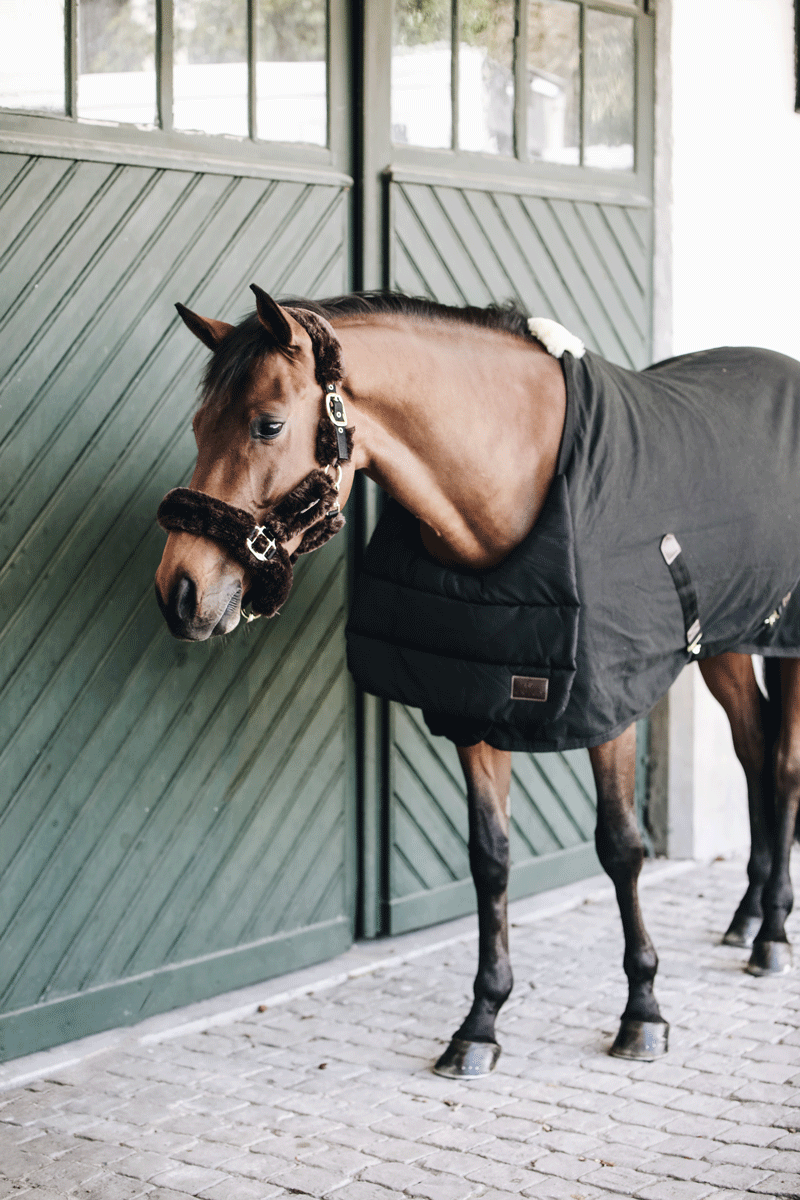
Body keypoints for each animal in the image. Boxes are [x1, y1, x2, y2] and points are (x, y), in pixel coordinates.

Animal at [155, 286, 800, 1079]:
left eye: (266, 424)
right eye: (197, 424)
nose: (180, 592)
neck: (515, 484)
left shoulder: (608, 712)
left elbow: (621, 848)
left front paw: (643, 1009)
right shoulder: (474, 705)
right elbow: (489, 860)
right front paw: (481, 1021)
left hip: (787, 642)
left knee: (783, 765)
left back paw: (771, 935)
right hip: (726, 644)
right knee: (753, 751)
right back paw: (747, 917)